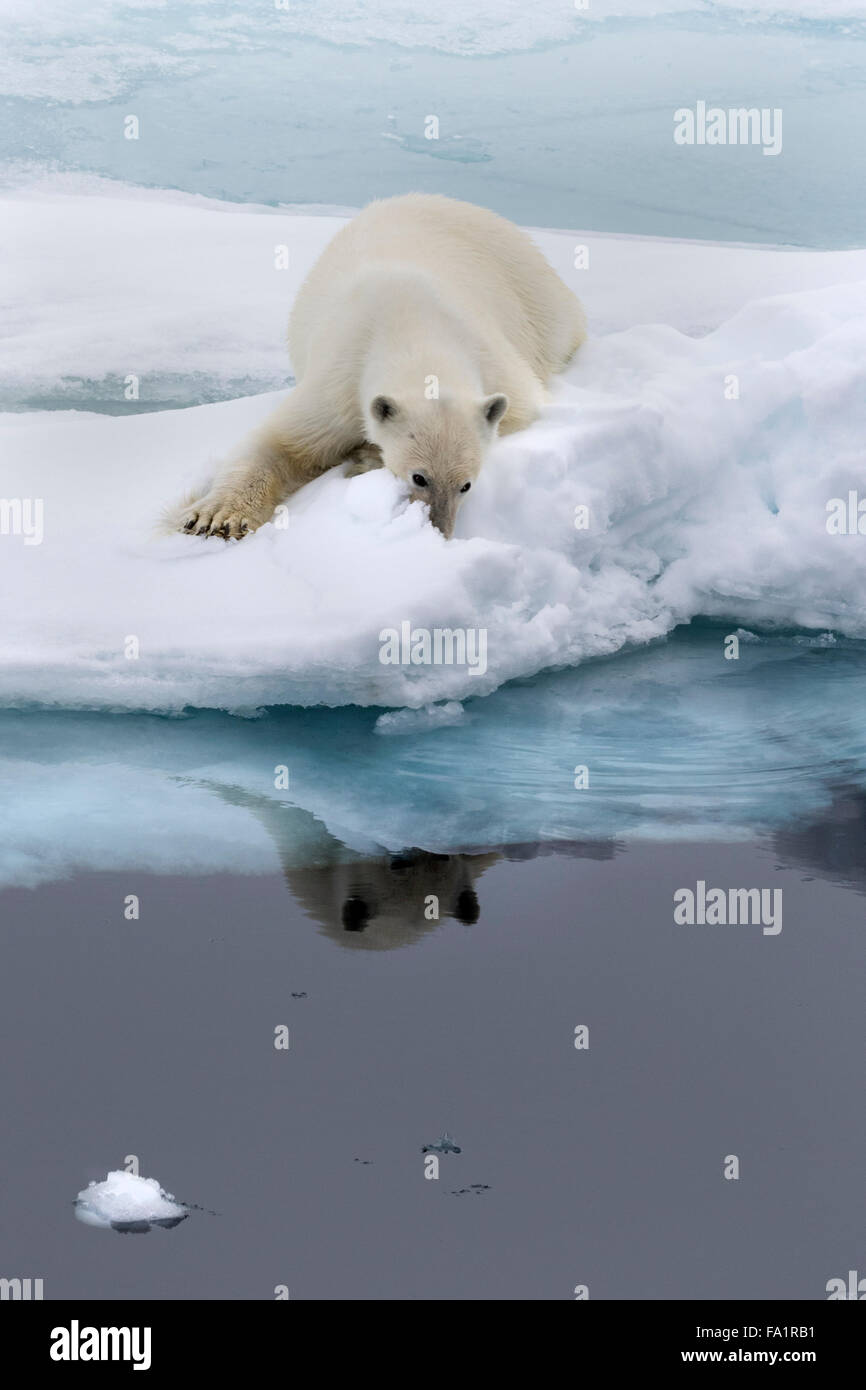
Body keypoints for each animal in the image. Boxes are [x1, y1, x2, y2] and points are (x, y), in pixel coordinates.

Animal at [179, 193, 586, 539]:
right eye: (419, 478)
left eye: (466, 484)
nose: (440, 531)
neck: (412, 328)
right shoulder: (340, 377)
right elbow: (283, 441)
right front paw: (215, 517)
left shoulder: (494, 363)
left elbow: (518, 410)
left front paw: (365, 456)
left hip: (537, 302)